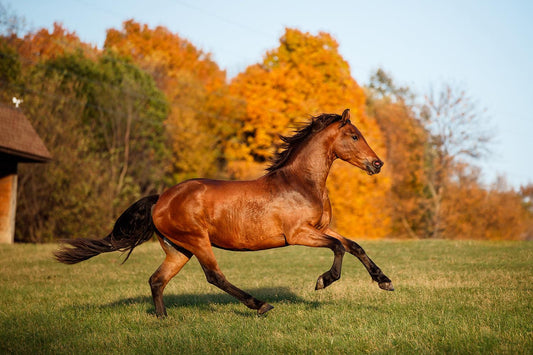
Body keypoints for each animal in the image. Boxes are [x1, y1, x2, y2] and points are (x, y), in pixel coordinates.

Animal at [55, 108, 394, 318]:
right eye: (354, 136)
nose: (377, 164)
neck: (301, 183)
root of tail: (160, 199)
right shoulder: (299, 234)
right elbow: (338, 248)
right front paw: (324, 280)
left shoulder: (320, 228)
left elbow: (354, 246)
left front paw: (384, 281)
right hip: (198, 242)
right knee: (214, 276)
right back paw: (260, 305)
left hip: (179, 249)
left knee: (157, 280)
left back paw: (163, 319)